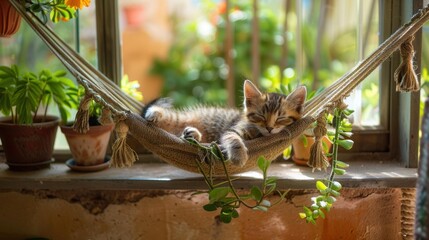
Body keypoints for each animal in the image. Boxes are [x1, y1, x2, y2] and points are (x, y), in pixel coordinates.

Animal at [143, 79, 304, 166]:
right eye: (260, 116)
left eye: (280, 118)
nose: (269, 128)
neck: (260, 134)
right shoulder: (234, 129)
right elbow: (233, 138)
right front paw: (239, 155)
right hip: (182, 119)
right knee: (171, 118)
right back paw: (154, 113)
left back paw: (191, 134)